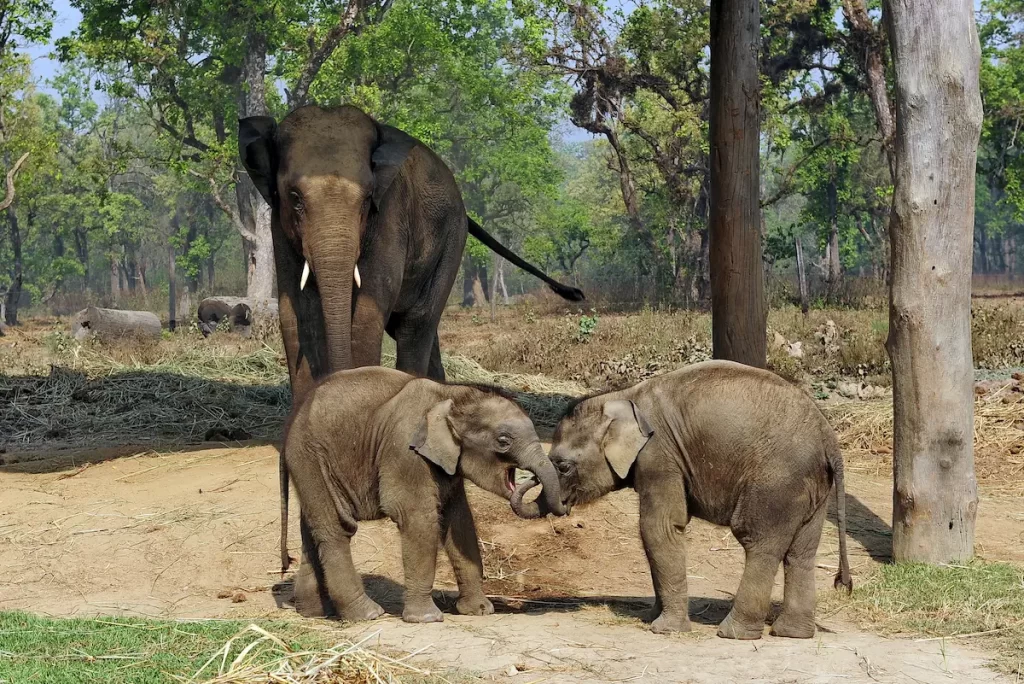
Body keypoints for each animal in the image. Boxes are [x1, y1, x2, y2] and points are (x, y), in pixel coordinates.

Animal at [280, 366, 564, 622]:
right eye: (503, 441)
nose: (537, 476)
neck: (450, 394)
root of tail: (292, 419)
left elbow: (459, 521)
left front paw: (480, 611)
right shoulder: (405, 453)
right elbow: (419, 519)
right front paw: (427, 618)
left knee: (312, 531)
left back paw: (315, 612)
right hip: (311, 458)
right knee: (337, 529)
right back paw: (367, 615)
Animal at [511, 360, 852, 640]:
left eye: (563, 466)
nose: (527, 478)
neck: (624, 395)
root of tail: (828, 438)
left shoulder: (659, 455)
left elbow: (658, 527)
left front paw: (663, 629)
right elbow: (653, 533)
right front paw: (649, 617)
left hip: (776, 481)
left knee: (759, 543)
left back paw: (734, 633)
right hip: (813, 489)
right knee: (801, 552)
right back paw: (793, 633)